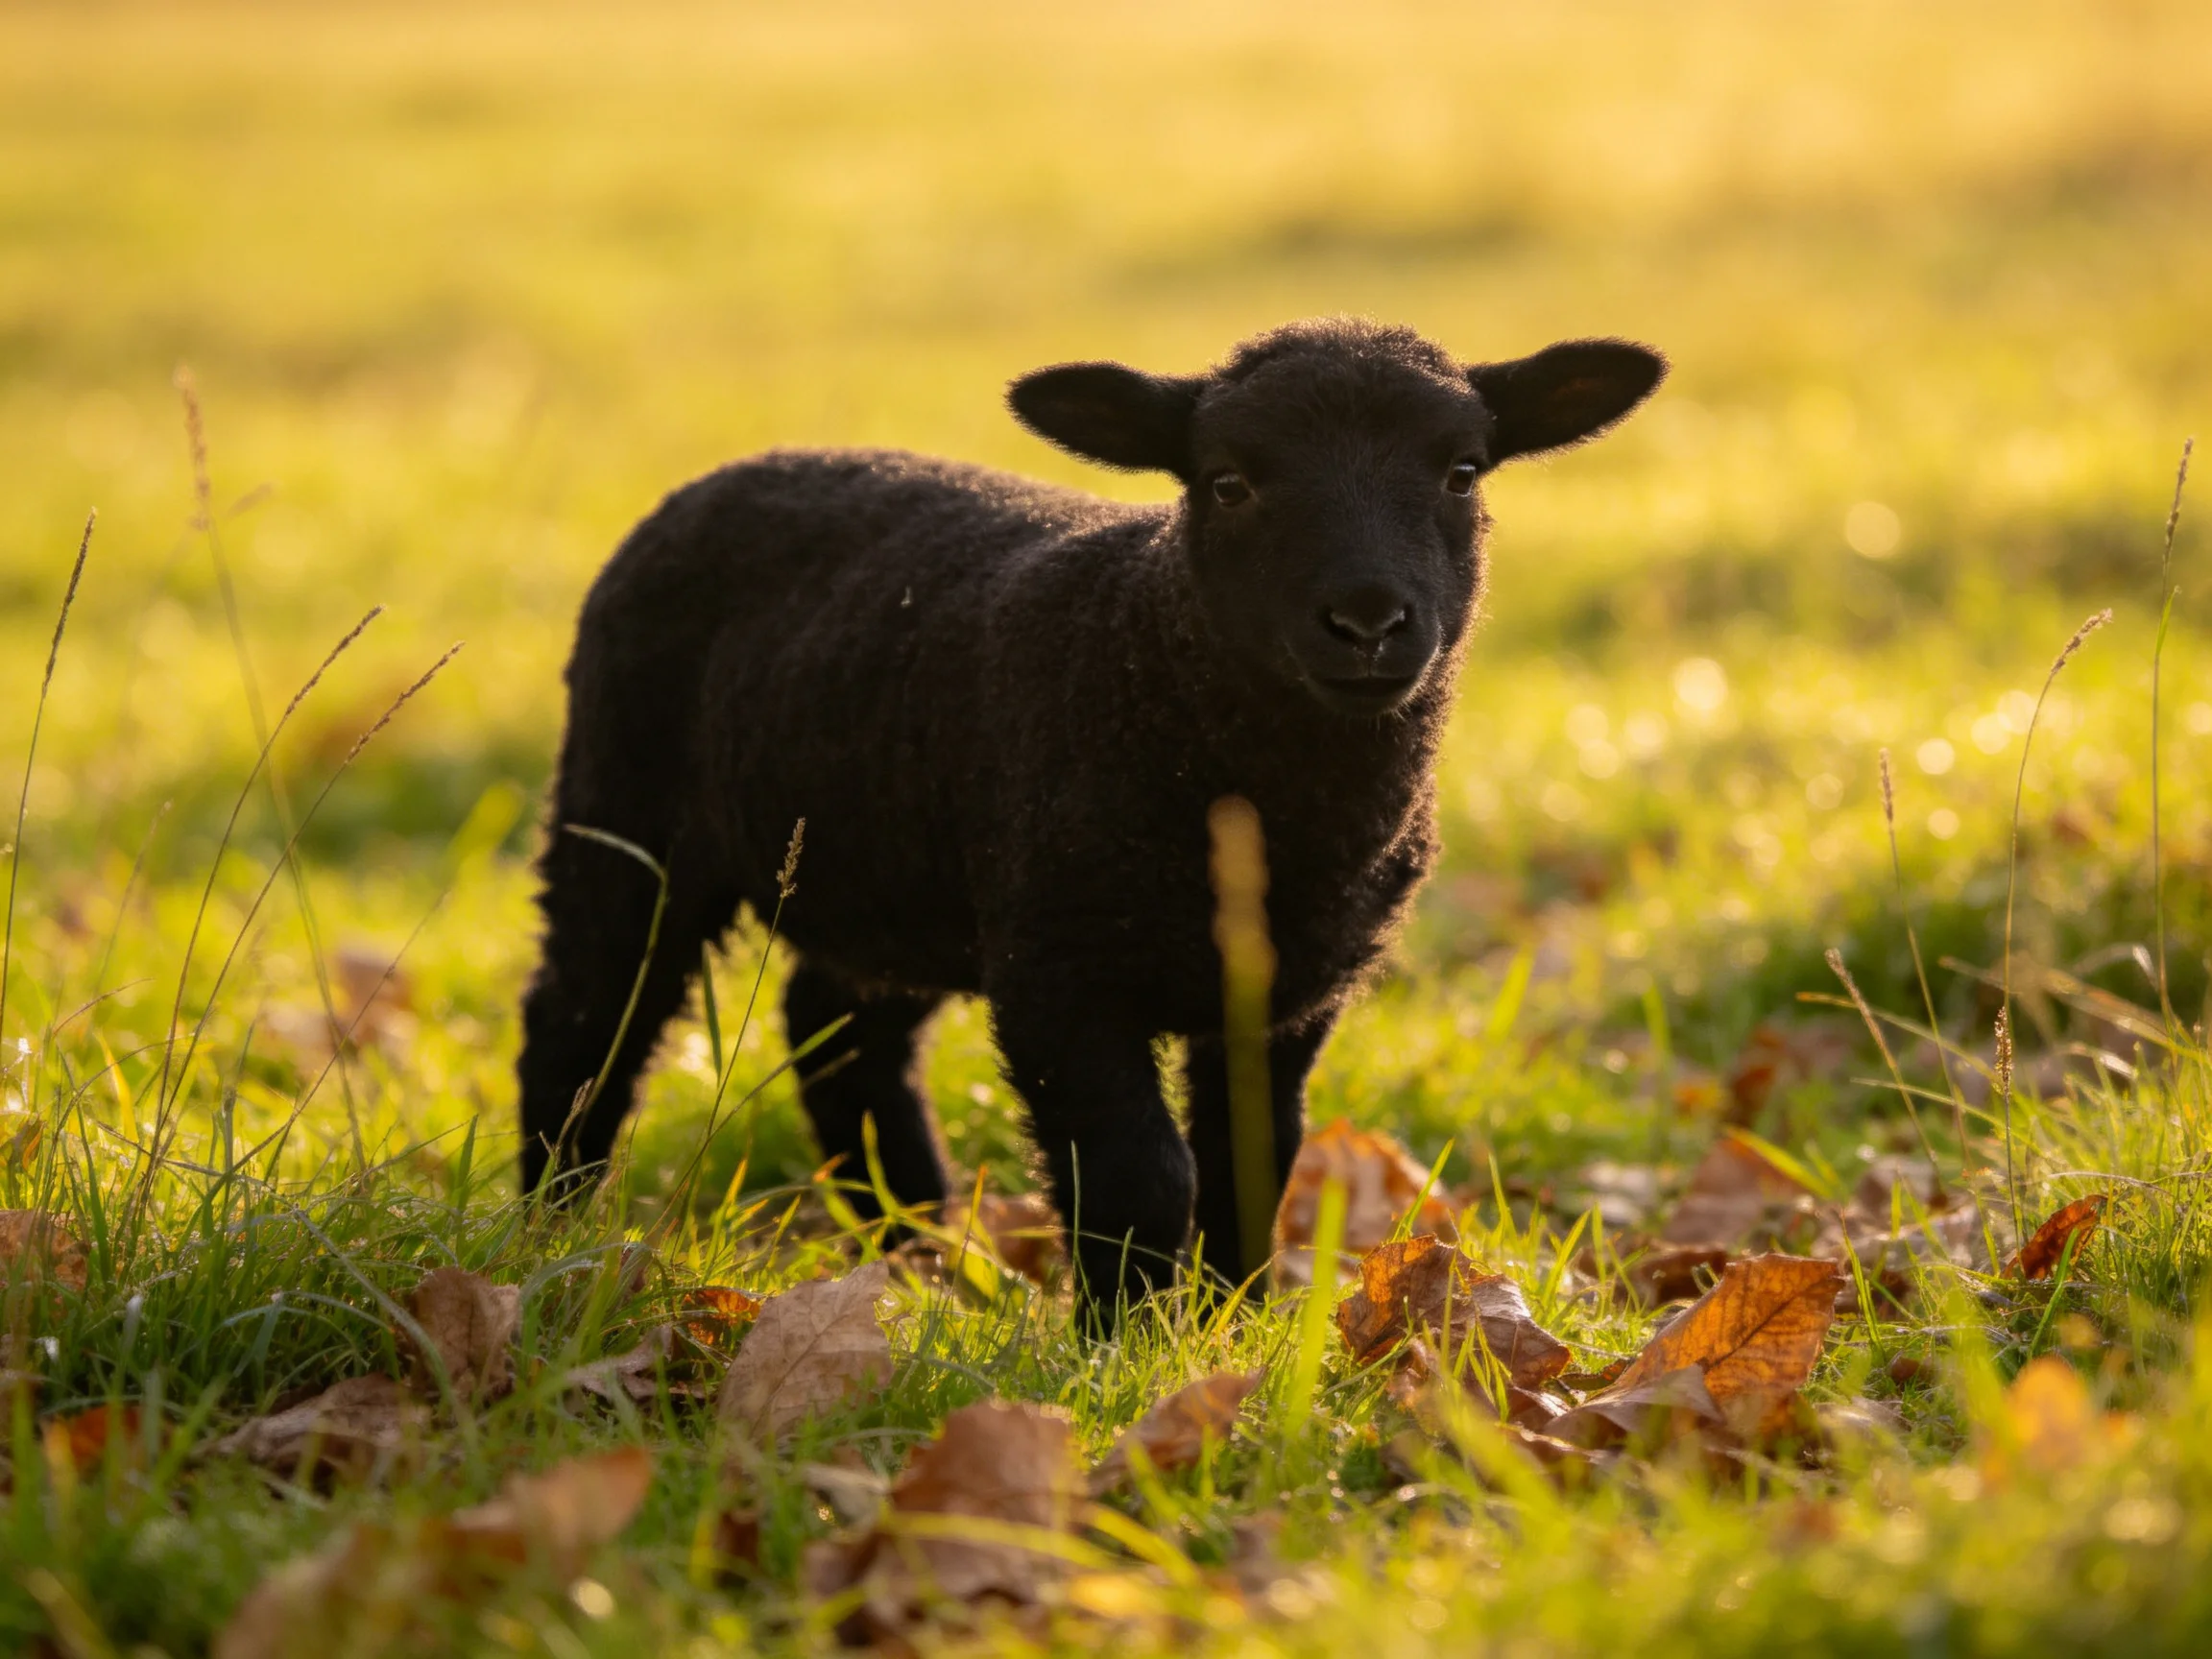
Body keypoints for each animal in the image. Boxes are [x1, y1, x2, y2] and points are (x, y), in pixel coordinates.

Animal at [516, 316, 1663, 1316]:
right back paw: (551, 1229)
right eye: (1228, 482)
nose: (1369, 622)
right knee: (583, 1018)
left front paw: (1229, 1328)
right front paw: (1126, 1344)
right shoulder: (1059, 970)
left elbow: (1254, 1158)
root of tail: (738, 468)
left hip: (892, 868)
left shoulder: (1282, 994)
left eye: (1463, 473)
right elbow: (1140, 1174)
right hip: (626, 814)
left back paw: (918, 1255)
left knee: (843, 1039)